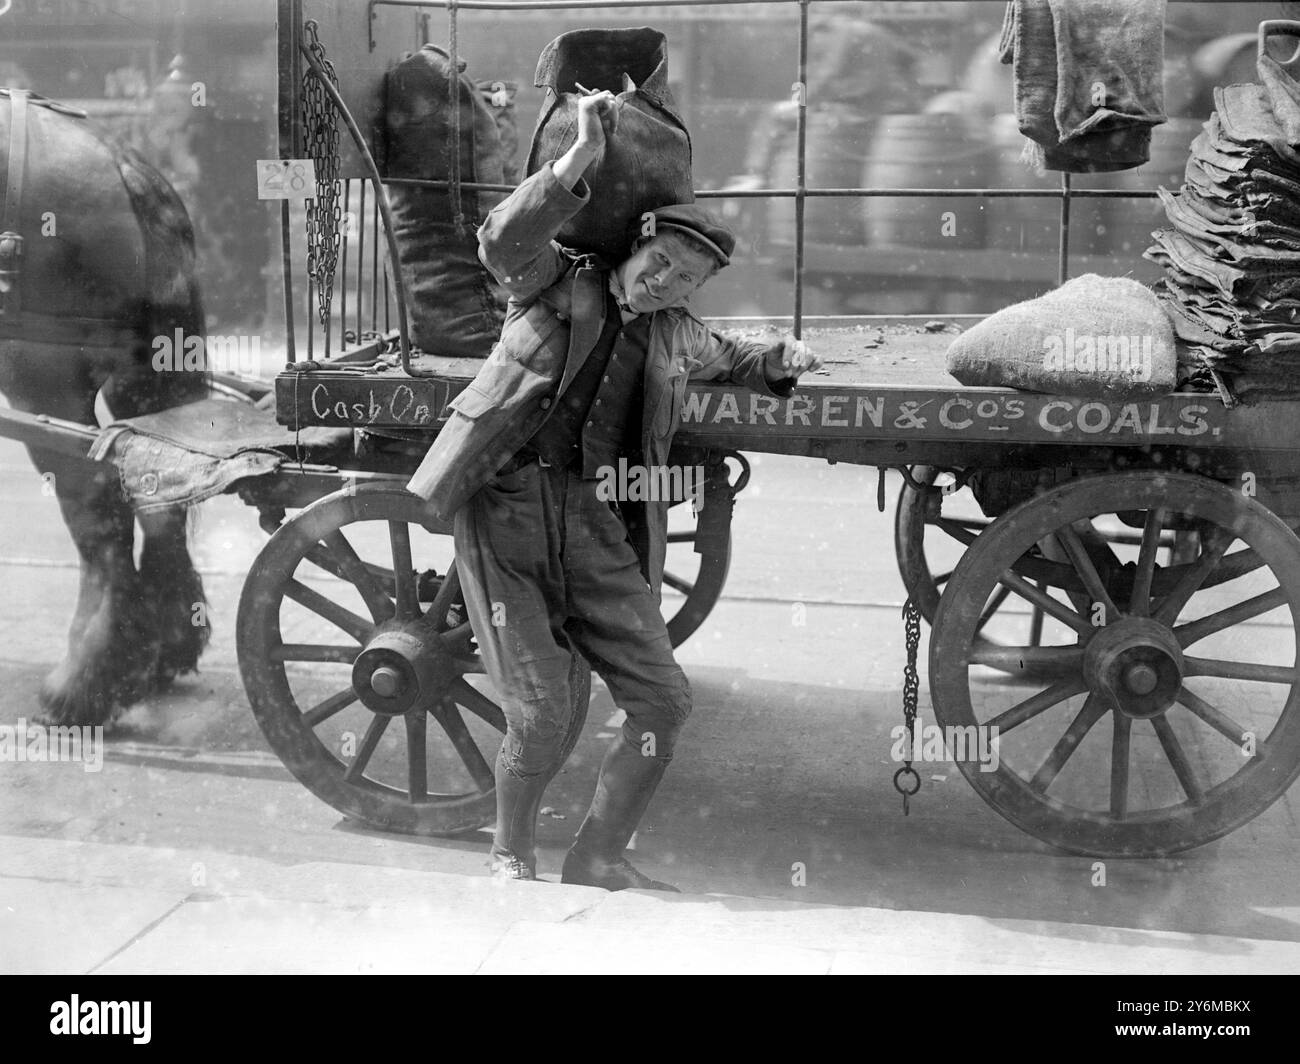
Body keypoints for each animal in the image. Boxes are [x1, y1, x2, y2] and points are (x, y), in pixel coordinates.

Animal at [0, 89, 210, 723]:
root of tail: (121, 163)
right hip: (144, 376)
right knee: (157, 496)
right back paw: (162, 650)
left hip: (41, 375)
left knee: (93, 505)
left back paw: (86, 680)